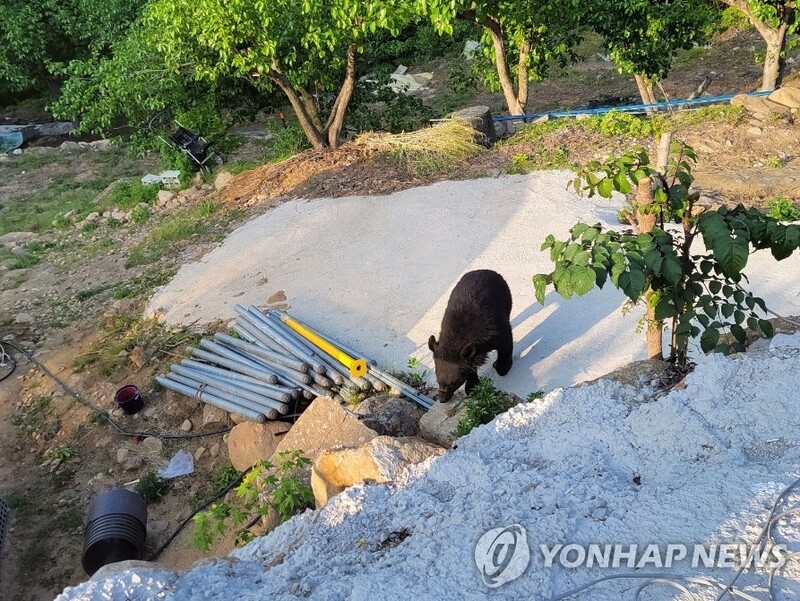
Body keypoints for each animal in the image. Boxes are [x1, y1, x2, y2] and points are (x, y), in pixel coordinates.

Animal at [427, 269, 513, 402]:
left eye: (454, 383)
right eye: (438, 381)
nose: (442, 399)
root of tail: (484, 270)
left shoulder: (495, 331)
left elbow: (505, 343)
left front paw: (502, 367)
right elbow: (470, 364)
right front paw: (472, 386)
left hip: (506, 296)